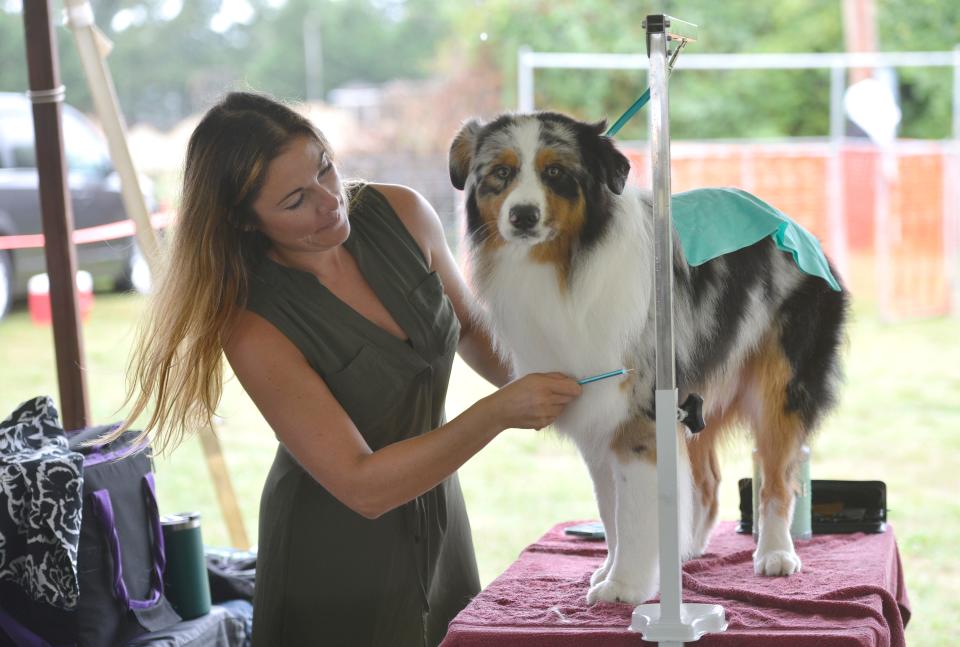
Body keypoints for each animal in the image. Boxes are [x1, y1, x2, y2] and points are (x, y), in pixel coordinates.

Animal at [450, 112, 848, 608]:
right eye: (500, 173)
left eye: (555, 172)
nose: (523, 215)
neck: (563, 265)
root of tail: (798, 227)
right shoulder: (596, 410)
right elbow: (611, 509)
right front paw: (612, 571)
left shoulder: (638, 411)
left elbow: (634, 511)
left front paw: (624, 586)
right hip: (695, 392)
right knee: (707, 481)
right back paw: (684, 552)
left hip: (780, 383)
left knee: (777, 474)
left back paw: (775, 553)